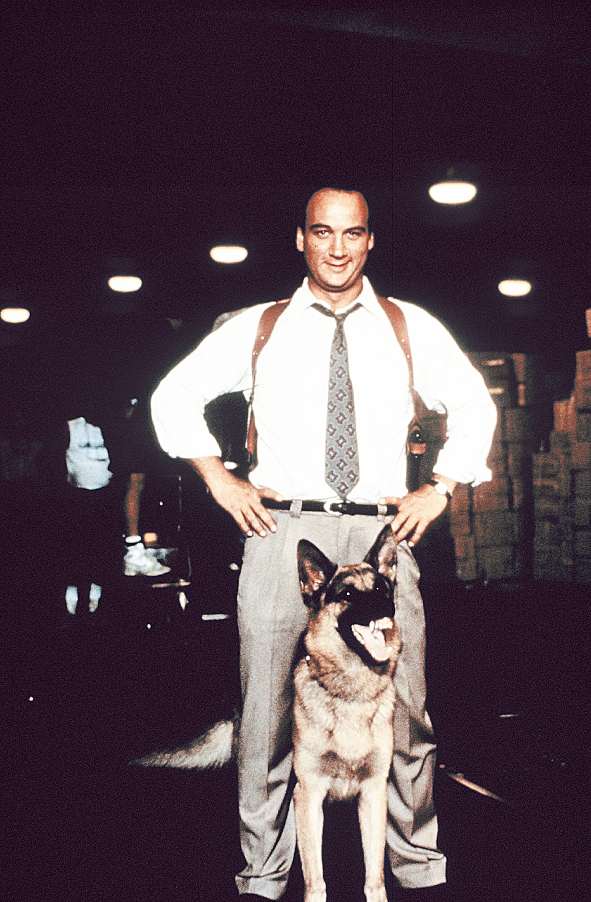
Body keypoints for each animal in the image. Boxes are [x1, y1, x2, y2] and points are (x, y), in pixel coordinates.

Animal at [131, 525, 400, 902]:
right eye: (347, 593)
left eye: (380, 588)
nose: (384, 604)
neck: (348, 692)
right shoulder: (309, 795)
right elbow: (316, 879)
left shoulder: (374, 794)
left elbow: (374, 876)